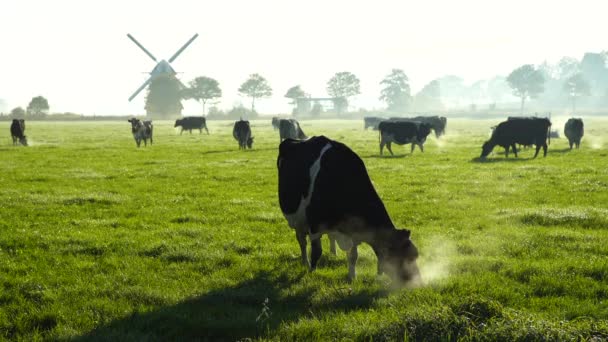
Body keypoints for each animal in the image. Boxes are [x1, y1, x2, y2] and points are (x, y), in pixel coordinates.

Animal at [278, 136, 420, 284]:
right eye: (404, 258)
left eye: (415, 255)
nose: (418, 282)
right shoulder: (315, 224)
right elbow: (316, 251)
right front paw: (311, 272)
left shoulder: (353, 231)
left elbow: (353, 256)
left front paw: (352, 277)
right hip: (298, 219)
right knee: (302, 241)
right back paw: (305, 262)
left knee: (329, 237)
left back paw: (333, 253)